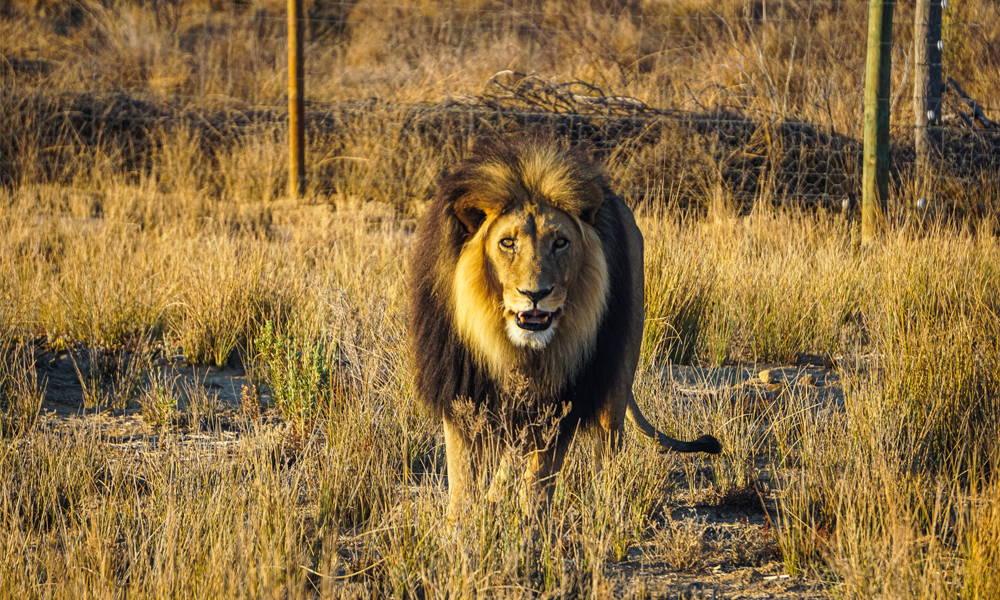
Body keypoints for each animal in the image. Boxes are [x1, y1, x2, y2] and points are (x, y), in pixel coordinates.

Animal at [410, 137, 724, 516]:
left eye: (560, 242)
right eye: (507, 243)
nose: (535, 294)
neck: (513, 348)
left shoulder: (561, 401)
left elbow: (538, 481)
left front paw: (530, 523)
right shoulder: (462, 392)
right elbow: (463, 482)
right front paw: (464, 525)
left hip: (618, 372)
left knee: (608, 444)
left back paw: (607, 508)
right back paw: (497, 497)